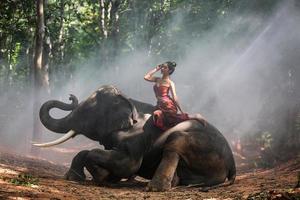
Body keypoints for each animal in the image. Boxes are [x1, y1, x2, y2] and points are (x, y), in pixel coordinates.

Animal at [35, 84, 236, 191]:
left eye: (87, 111)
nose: (70, 96)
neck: (129, 100)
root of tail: (232, 165)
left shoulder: (136, 138)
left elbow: (127, 164)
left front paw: (103, 176)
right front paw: (75, 177)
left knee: (175, 142)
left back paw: (155, 188)